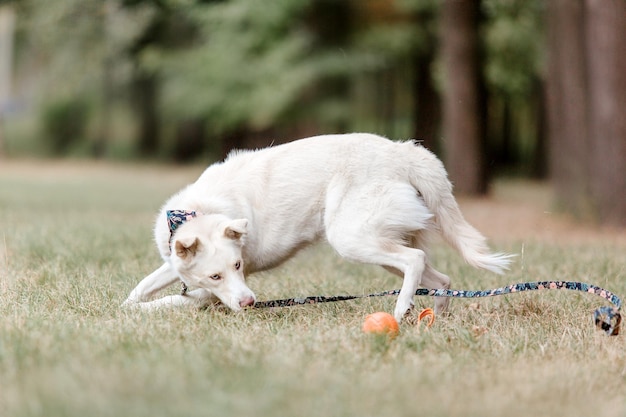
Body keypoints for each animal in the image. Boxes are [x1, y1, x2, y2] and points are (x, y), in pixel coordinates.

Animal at [123, 132, 512, 320]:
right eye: (217, 274)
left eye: (237, 265)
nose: (250, 302)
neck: (197, 214)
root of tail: (403, 152)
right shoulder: (178, 266)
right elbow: (145, 285)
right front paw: (128, 303)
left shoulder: (211, 294)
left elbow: (169, 300)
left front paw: (135, 314)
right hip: (382, 244)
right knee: (438, 277)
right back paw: (436, 315)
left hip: (351, 238)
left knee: (415, 260)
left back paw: (402, 309)